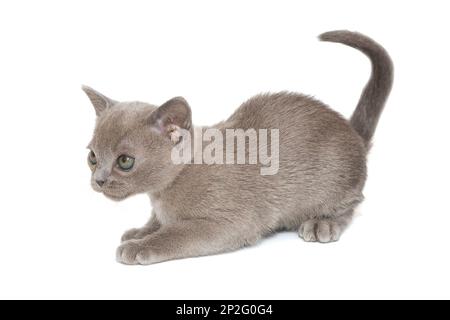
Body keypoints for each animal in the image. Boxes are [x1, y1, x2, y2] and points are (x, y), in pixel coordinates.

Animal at [83, 30, 390, 264]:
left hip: (331, 185)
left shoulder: (229, 223)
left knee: (352, 203)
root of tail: (351, 131)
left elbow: (175, 234)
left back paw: (322, 223)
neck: (161, 194)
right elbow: (158, 223)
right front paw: (139, 232)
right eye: (92, 157)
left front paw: (138, 246)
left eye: (125, 161)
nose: (98, 180)